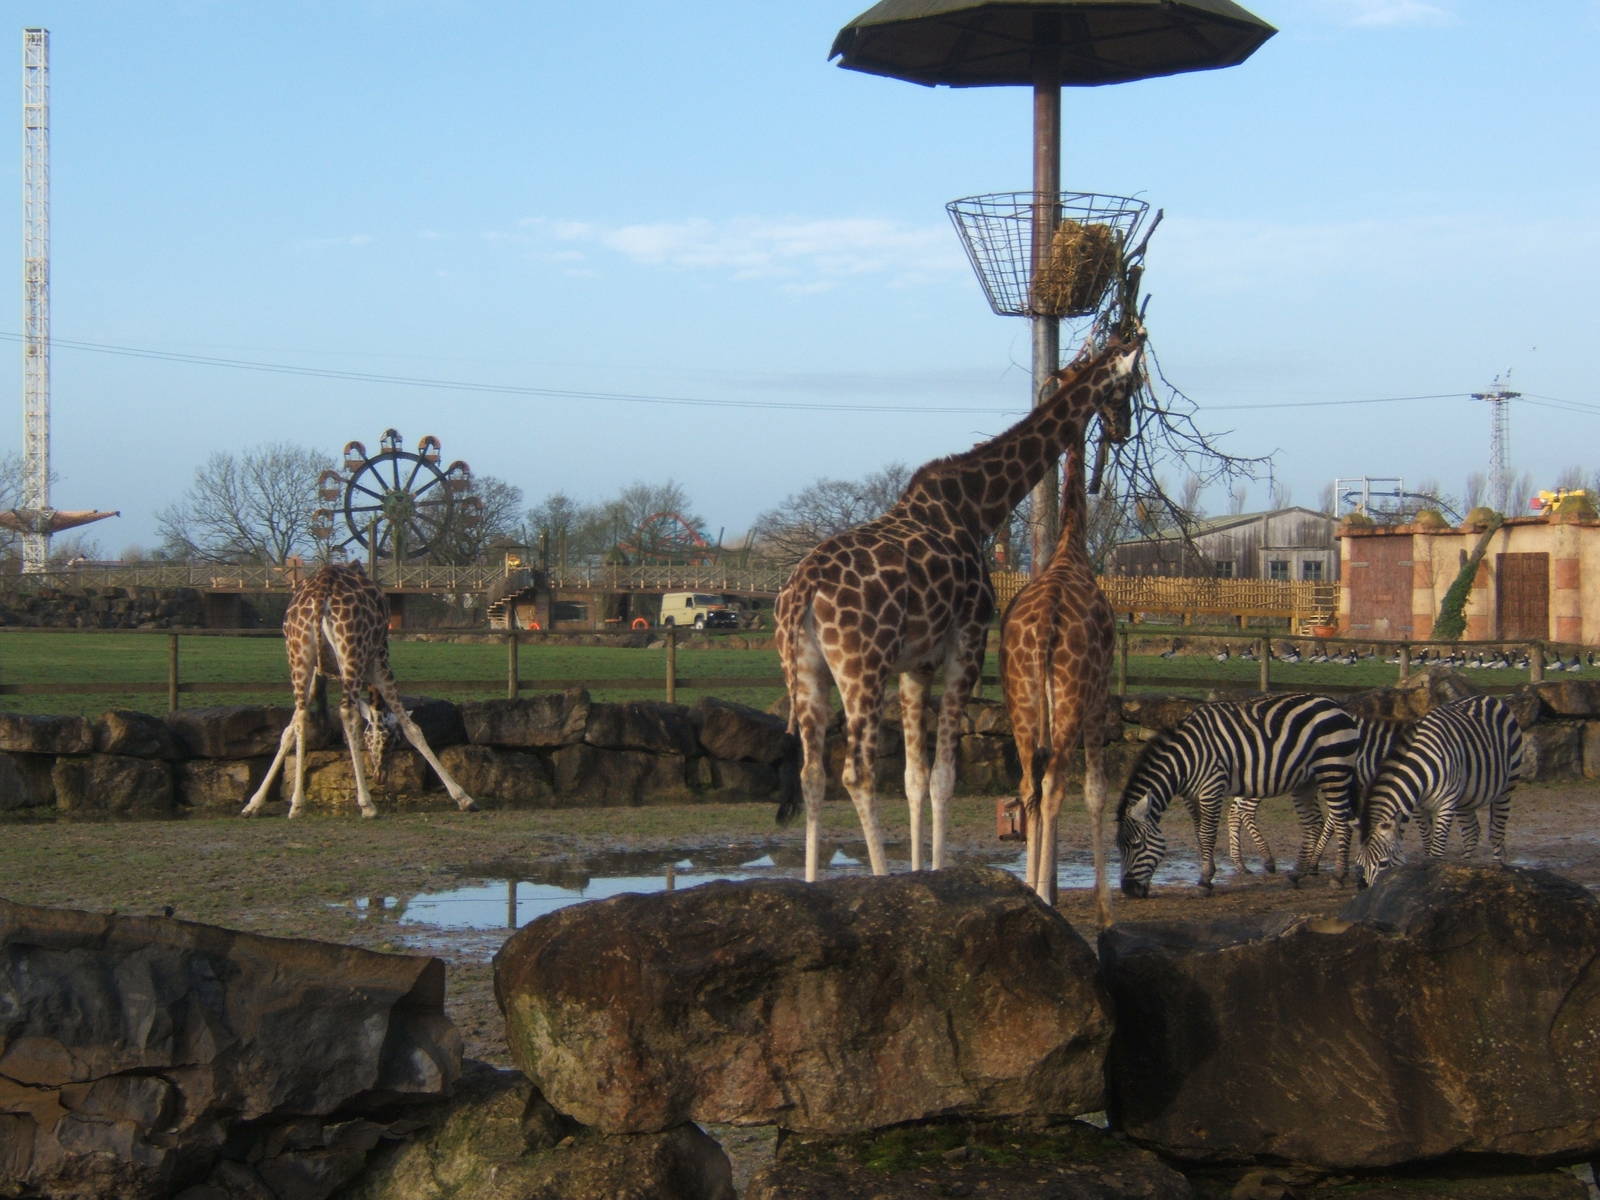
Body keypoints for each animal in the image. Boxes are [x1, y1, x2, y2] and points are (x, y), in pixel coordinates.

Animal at [241, 561, 475, 819]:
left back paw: (297, 805)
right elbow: (413, 728)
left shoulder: (318, 672)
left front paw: (255, 803)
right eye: (392, 740)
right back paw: (367, 804)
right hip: (352, 652)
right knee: (348, 712)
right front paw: (463, 797)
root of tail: (322, 588)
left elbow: (288, 731)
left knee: (302, 714)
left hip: (299, 654)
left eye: (379, 740)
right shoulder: (380, 660)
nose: (380, 776)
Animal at [775, 330, 1145, 881]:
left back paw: (813, 883)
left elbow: (915, 777)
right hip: (863, 667)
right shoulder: (967, 644)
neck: (978, 507)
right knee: (857, 772)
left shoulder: (917, 665)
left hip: (806, 669)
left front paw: (922, 871)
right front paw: (932, 872)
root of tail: (802, 589)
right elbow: (943, 777)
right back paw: (879, 878)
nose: (1122, 429)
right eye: (1130, 385)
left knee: (812, 774)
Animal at [1115, 693, 1361, 898]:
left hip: (1333, 771)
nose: (1128, 890)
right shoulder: (1190, 796)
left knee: (1341, 821)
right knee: (1314, 824)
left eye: (1137, 844)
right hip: (1306, 782)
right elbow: (1198, 833)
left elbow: (1207, 834)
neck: (1185, 759)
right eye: (1119, 846)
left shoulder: (1211, 787)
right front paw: (1207, 874)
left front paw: (1204, 882)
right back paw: (1296, 874)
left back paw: (1338, 876)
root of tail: (1335, 704)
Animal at [1224, 714, 1412, 880]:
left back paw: (1240, 864)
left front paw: (1315, 864)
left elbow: (1331, 823)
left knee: (1234, 810)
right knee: (1245, 809)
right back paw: (1267, 859)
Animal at [1355, 693, 1524, 887]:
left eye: (1383, 863)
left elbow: (1436, 850)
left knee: (1496, 833)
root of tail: (1488, 697)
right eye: (1359, 864)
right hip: (1465, 798)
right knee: (1471, 832)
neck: (1420, 767)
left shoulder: (1446, 802)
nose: (1369, 891)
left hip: (1506, 788)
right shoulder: (1418, 806)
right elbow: (1428, 843)